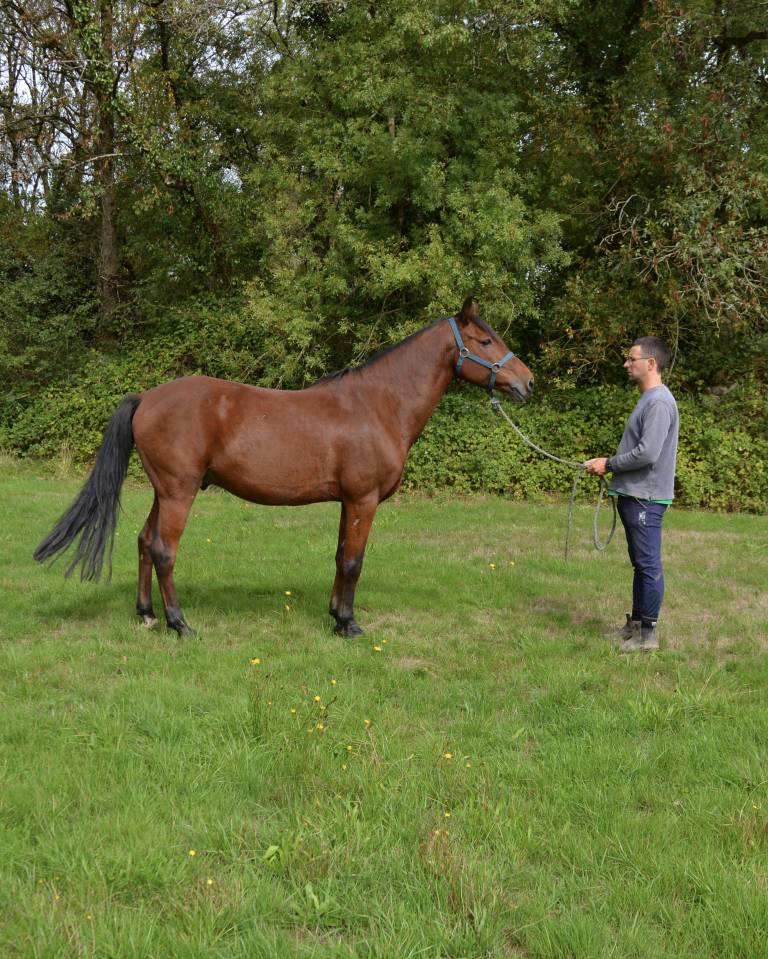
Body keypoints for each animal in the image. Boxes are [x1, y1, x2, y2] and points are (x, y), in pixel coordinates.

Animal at [34, 297, 534, 637]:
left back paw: (147, 613)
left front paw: (335, 615)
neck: (377, 405)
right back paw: (179, 623)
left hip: (164, 490)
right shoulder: (364, 499)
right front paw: (349, 624)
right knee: (163, 550)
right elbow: (354, 561)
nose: (527, 382)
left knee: (142, 541)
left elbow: (340, 556)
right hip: (179, 492)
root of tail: (147, 398)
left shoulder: (347, 501)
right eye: (485, 340)